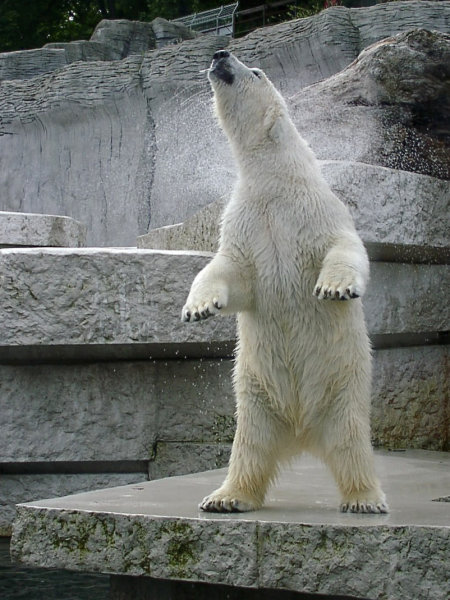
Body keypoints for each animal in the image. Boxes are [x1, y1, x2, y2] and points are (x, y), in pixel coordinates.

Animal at [181, 49, 388, 516]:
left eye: (256, 72)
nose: (220, 53)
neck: (274, 181)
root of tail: (302, 434)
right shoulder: (246, 219)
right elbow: (232, 272)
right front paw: (198, 307)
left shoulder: (315, 210)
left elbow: (344, 248)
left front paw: (334, 289)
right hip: (256, 395)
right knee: (249, 447)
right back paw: (226, 496)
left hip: (343, 392)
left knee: (352, 444)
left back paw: (364, 499)